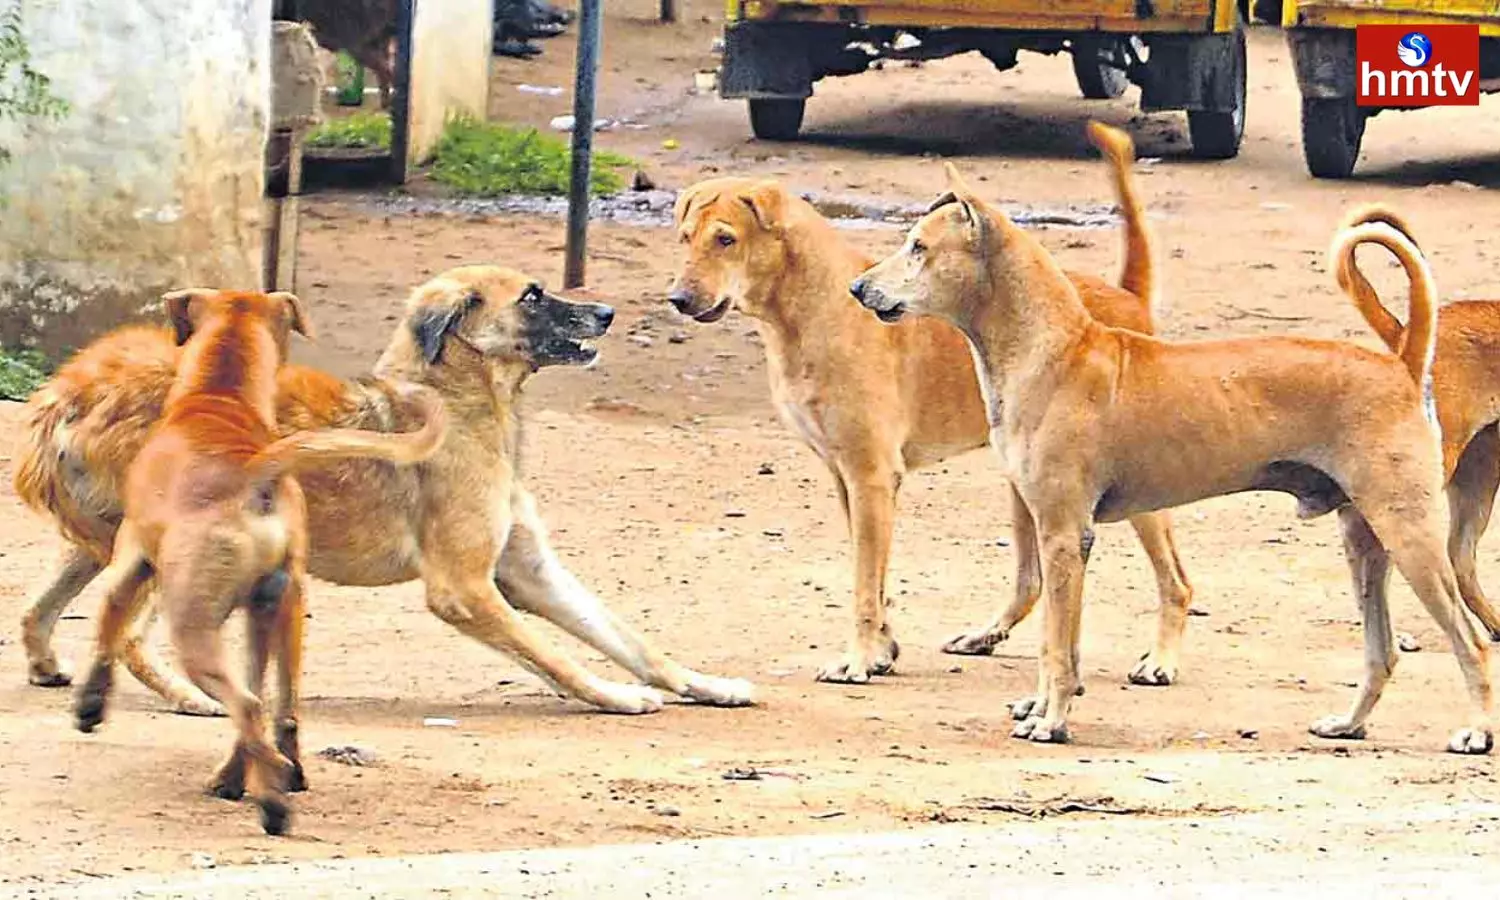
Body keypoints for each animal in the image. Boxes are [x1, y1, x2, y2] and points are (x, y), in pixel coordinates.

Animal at [17, 267, 756, 723]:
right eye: (532, 295)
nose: (607, 311)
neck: (459, 400)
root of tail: (70, 391)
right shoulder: (465, 588)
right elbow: (555, 655)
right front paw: (612, 695)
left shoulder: (528, 571)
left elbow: (632, 640)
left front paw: (707, 685)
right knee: (133, 636)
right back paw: (194, 697)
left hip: (104, 541)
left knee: (38, 608)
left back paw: (50, 664)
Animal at [70, 288, 444, 834]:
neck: (219, 398)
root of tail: (253, 474)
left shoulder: (130, 561)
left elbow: (107, 628)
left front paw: (90, 706)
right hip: (281, 612)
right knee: (276, 708)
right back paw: (269, 774)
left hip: (193, 626)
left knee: (247, 707)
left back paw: (272, 798)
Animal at [669, 123, 1194, 687]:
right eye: (685, 237)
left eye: (726, 239)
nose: (677, 299)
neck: (814, 307)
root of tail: (1127, 297)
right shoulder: (846, 479)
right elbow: (874, 581)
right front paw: (882, 650)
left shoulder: (871, 476)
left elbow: (863, 584)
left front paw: (859, 659)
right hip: (1024, 487)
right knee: (1030, 581)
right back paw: (985, 635)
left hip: (1136, 493)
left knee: (1176, 581)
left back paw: (1161, 661)